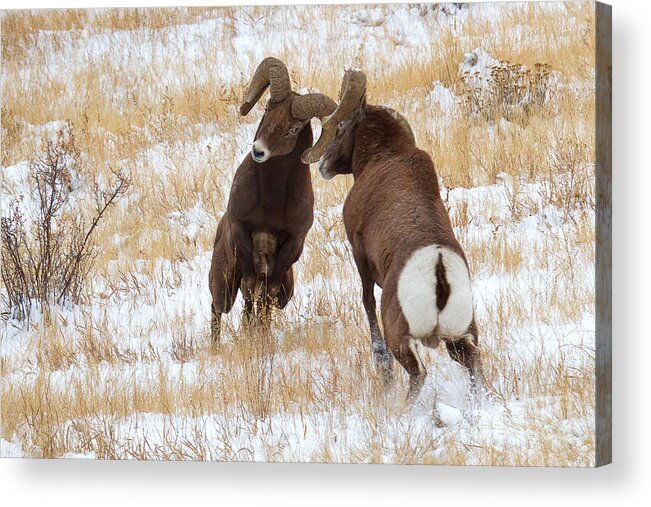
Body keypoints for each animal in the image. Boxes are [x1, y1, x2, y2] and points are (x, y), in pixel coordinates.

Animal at [210, 57, 336, 348]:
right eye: (268, 108)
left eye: (294, 128)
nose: (258, 151)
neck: (271, 201)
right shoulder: (243, 233)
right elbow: (249, 288)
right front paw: (249, 332)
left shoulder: (291, 246)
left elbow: (267, 294)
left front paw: (261, 333)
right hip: (223, 282)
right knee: (217, 308)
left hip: (287, 291)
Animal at [304, 69, 484, 408]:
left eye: (342, 127)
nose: (323, 165)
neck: (385, 155)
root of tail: (438, 268)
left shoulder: (359, 253)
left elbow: (367, 302)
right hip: (461, 339)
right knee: (474, 365)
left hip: (402, 337)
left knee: (418, 373)